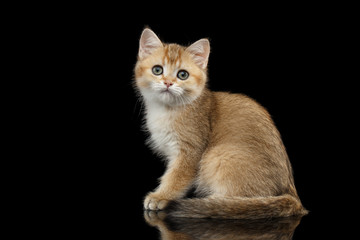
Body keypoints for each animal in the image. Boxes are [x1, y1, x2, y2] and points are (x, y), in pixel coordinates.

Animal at [134, 28, 308, 219]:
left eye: (182, 74)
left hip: (217, 155)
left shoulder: (190, 152)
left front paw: (161, 196)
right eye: (157, 70)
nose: (168, 83)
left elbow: (175, 177)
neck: (166, 110)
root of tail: (294, 197)